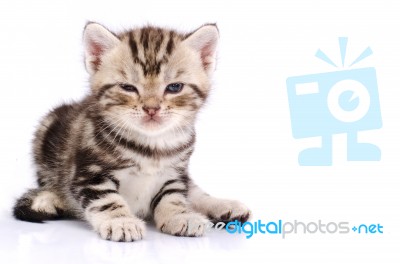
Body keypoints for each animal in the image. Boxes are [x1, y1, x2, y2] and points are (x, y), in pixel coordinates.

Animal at [13, 22, 250, 241]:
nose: (152, 108)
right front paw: (121, 222)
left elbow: (174, 195)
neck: (151, 145)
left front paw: (180, 215)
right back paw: (48, 200)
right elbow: (106, 199)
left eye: (174, 87)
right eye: (128, 88)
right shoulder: (88, 174)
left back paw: (224, 206)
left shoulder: (175, 172)